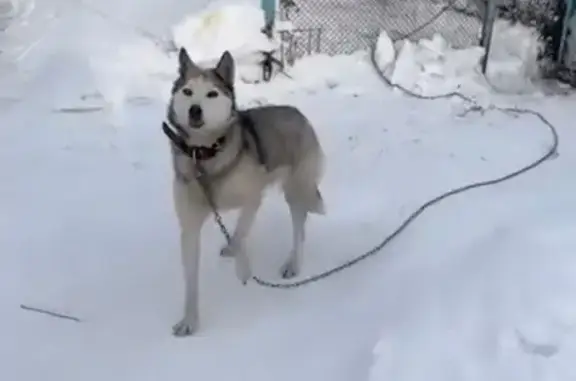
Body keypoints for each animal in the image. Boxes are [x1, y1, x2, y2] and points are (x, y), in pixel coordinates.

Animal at [164, 47, 326, 336]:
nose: (195, 110)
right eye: (187, 91)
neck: (203, 156)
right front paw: (189, 320)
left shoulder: (252, 198)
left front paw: (243, 269)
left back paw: (292, 264)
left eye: (212, 94)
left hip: (297, 189)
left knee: (299, 227)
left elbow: (240, 234)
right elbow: (191, 280)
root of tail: (297, 113)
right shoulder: (189, 227)